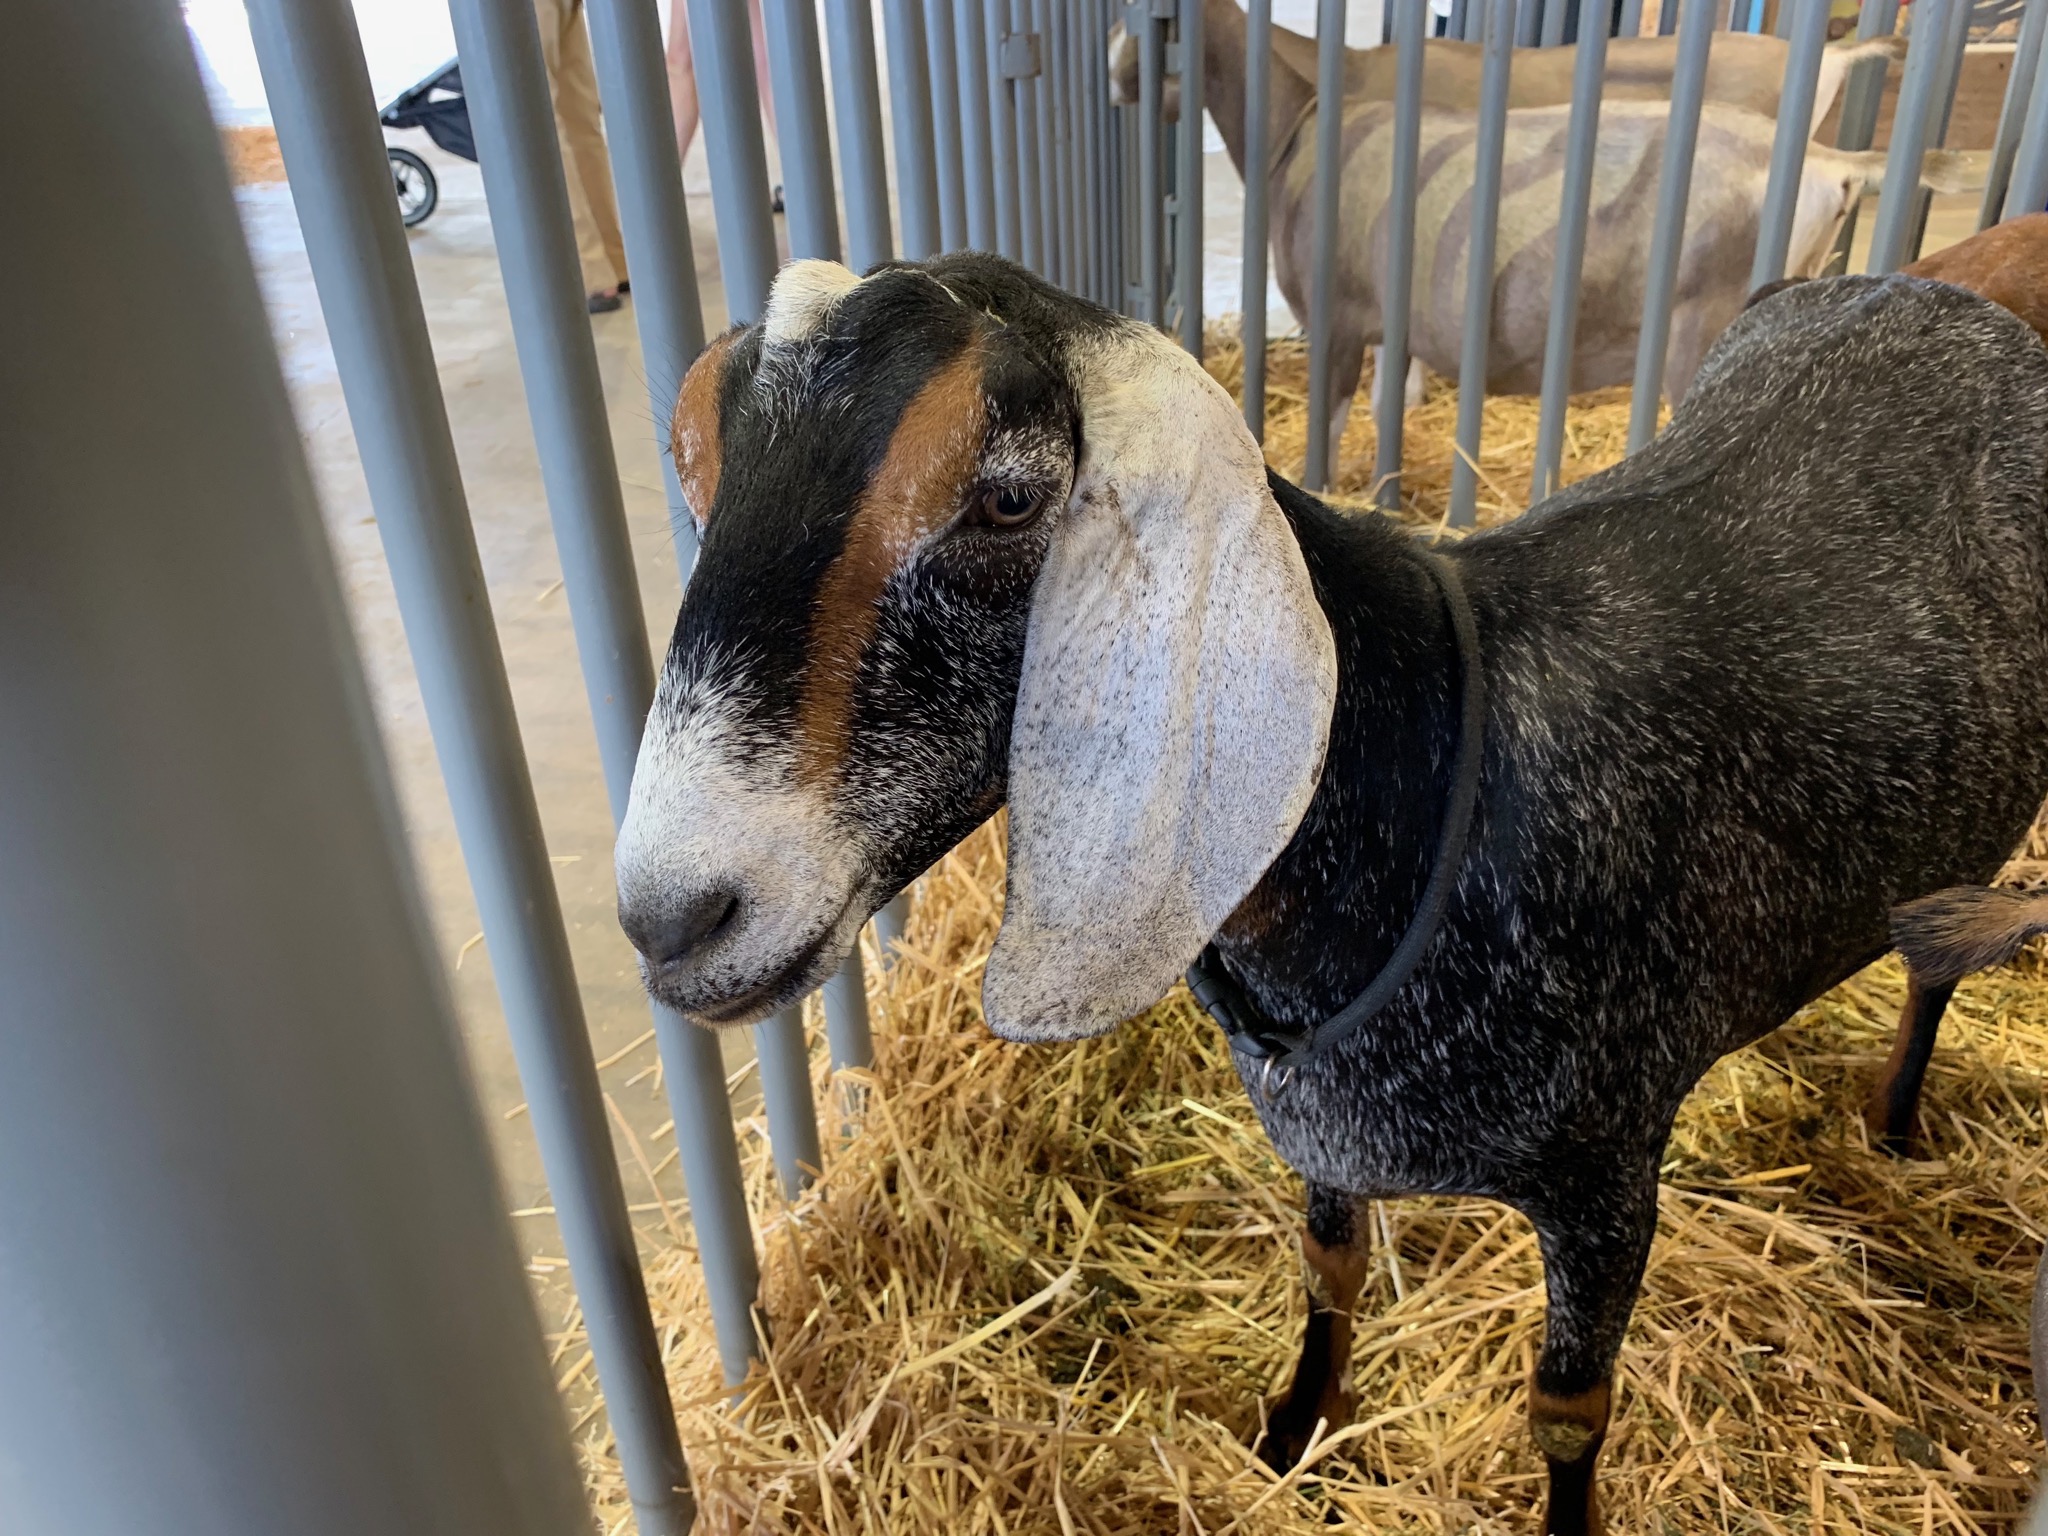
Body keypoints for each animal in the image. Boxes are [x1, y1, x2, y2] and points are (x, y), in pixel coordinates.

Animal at [615, 254, 2048, 1534]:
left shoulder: (1607, 1172)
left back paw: (1897, 1120)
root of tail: (1942, 293)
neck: (1441, 769)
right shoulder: (1322, 1135)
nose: (673, 916)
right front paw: (1292, 1433)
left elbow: (1564, 1416)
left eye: (1011, 498)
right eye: (691, 464)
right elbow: (1330, 1270)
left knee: (1941, 959)